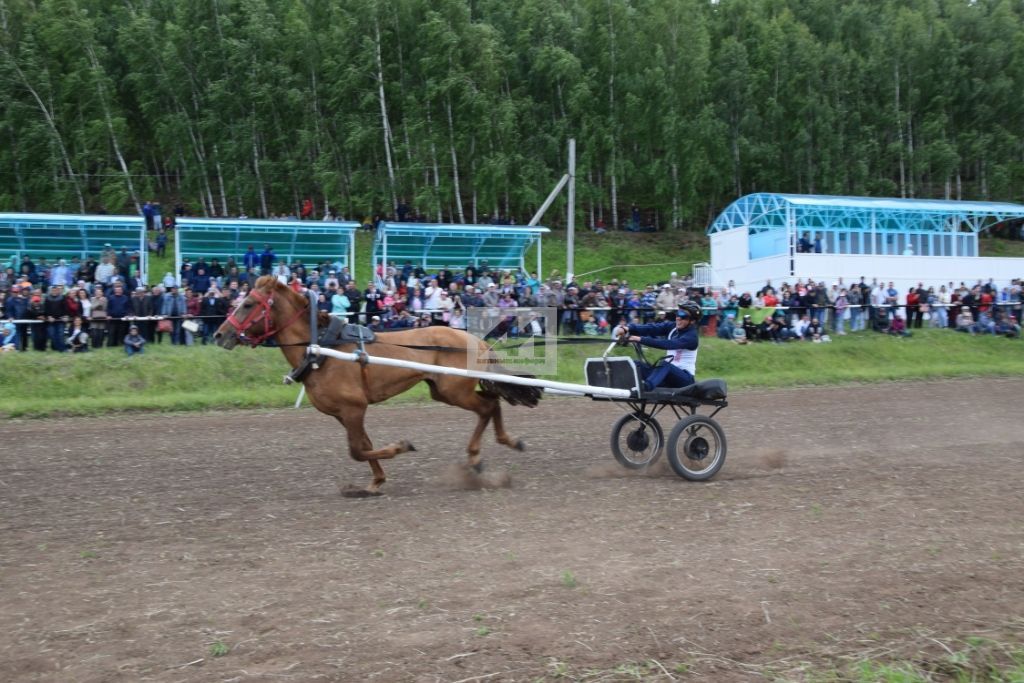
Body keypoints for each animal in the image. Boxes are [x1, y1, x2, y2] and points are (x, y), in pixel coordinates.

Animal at [211, 276, 540, 497]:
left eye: (248, 304)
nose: (219, 334)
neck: (324, 351)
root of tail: (474, 339)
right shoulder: (343, 414)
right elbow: (365, 447)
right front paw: (375, 482)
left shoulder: (354, 408)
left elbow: (358, 451)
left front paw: (400, 447)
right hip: (445, 390)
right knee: (492, 401)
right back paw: (503, 444)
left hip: (454, 391)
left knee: (488, 406)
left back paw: (478, 456)